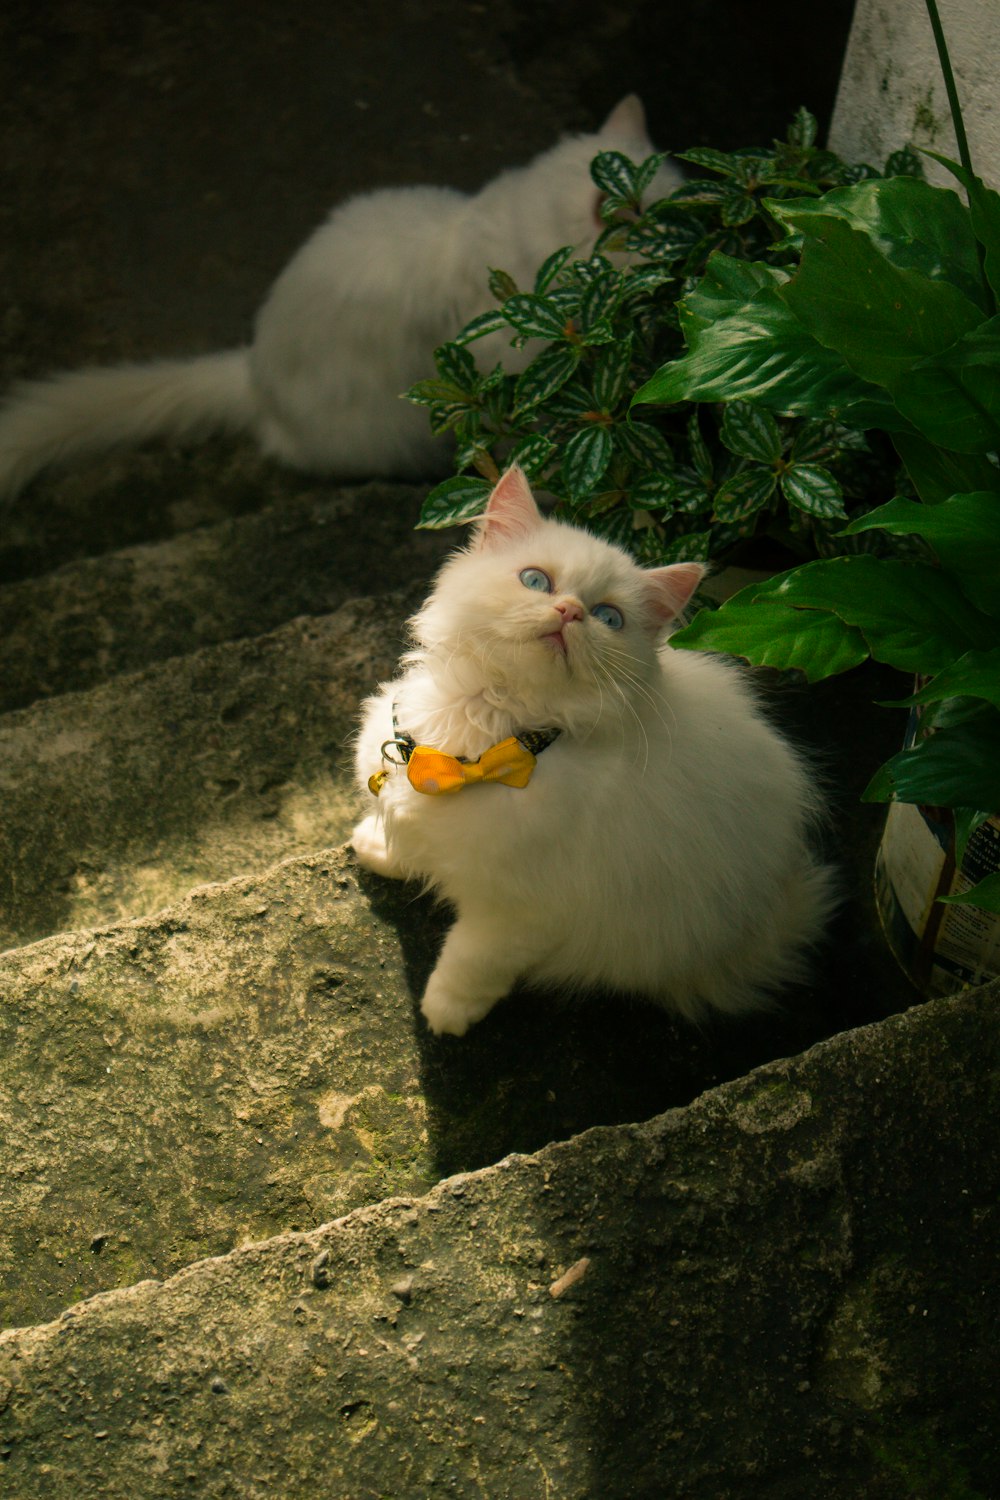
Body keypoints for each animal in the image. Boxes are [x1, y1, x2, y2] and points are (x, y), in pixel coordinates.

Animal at [352, 465, 839, 1032]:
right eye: (535, 581)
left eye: (609, 618)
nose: (570, 612)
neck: (491, 736)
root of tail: (772, 911)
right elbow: (408, 838)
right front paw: (378, 847)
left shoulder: (523, 914)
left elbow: (471, 961)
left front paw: (447, 1013)